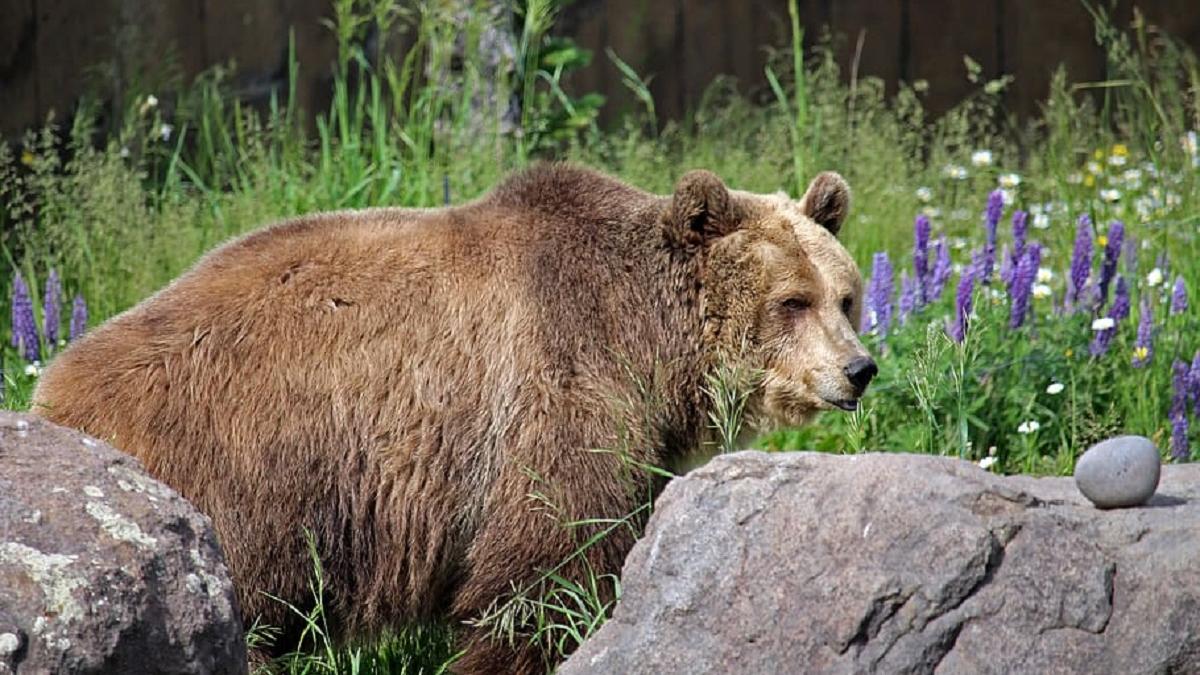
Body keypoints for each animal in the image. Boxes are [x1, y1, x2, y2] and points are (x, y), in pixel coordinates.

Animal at [28, 159, 873, 667]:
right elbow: (540, 571)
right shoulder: (554, 390)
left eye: (845, 294)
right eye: (791, 300)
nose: (858, 370)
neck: (648, 341)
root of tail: (51, 392)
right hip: (240, 478)